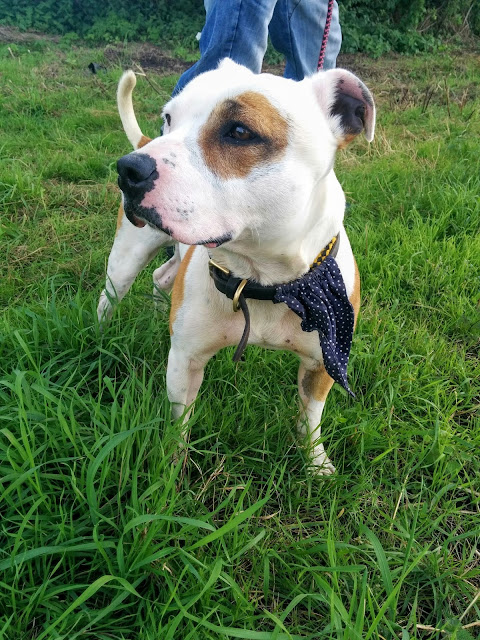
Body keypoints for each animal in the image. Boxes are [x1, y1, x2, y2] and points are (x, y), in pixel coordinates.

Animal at [97, 62, 376, 472]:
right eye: (169, 118)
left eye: (240, 132)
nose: (128, 169)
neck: (265, 280)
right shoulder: (185, 362)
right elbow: (179, 423)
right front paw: (172, 467)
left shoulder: (322, 362)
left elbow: (310, 418)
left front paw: (316, 464)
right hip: (127, 256)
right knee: (111, 295)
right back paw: (100, 333)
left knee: (162, 277)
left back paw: (159, 310)